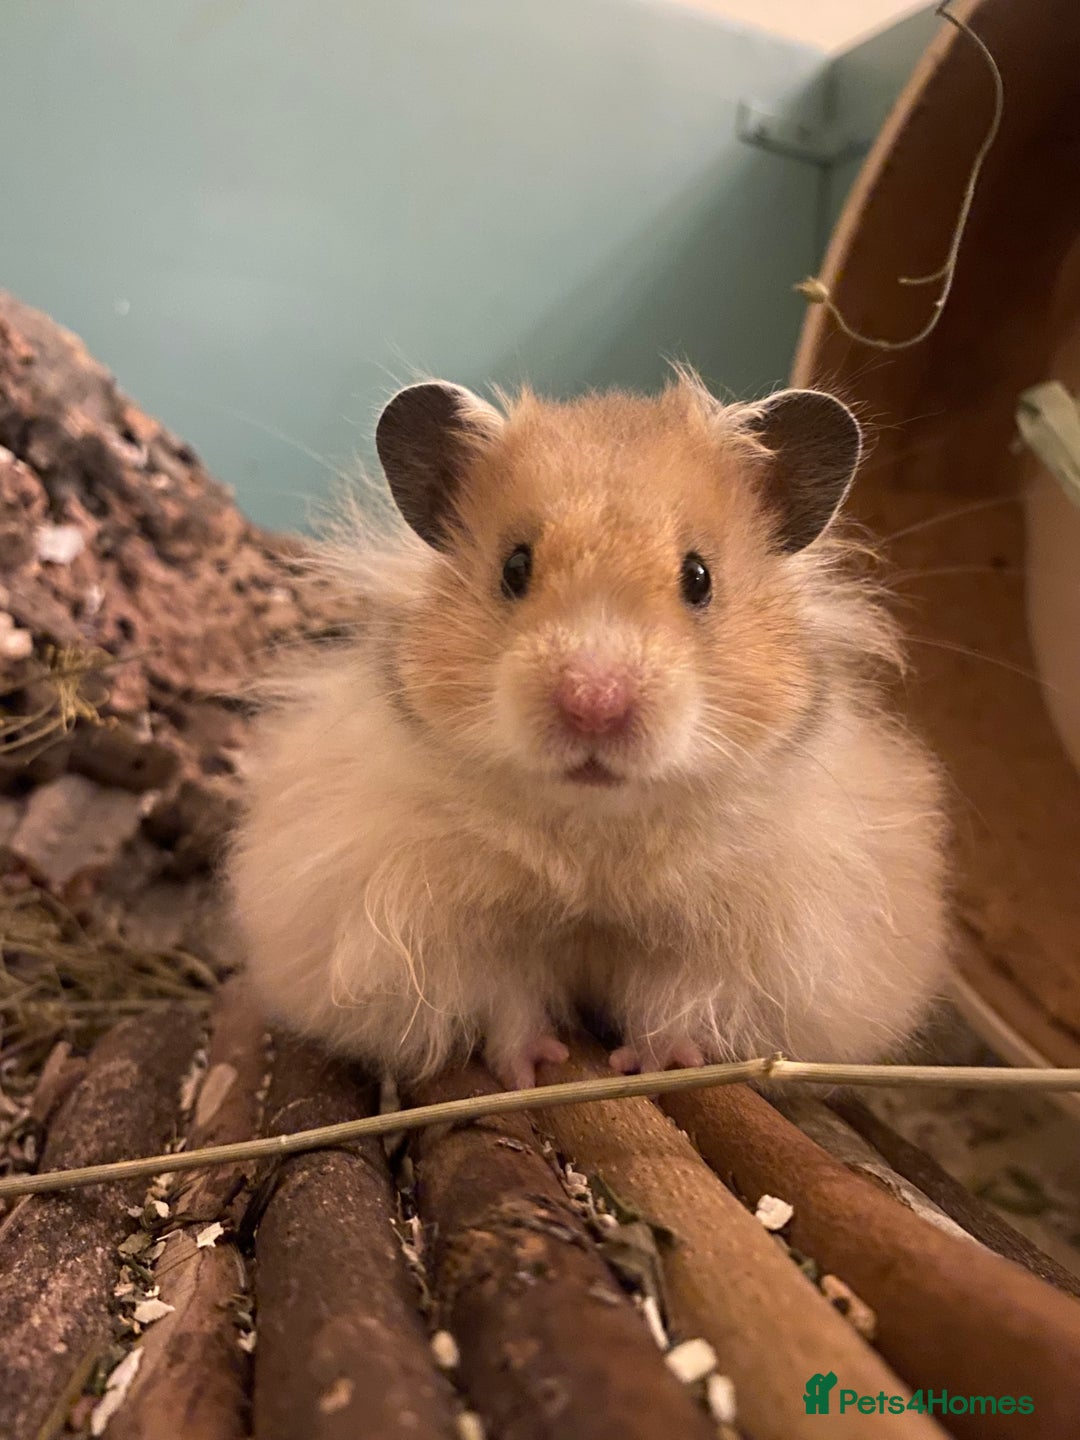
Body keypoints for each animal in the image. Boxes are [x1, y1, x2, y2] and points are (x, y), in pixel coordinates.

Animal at [229, 370, 950, 1089]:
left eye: (698, 577)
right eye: (515, 568)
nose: (594, 704)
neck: (595, 830)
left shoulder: (740, 948)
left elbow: (672, 1004)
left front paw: (652, 1065)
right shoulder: (439, 932)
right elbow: (509, 1004)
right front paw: (533, 1071)